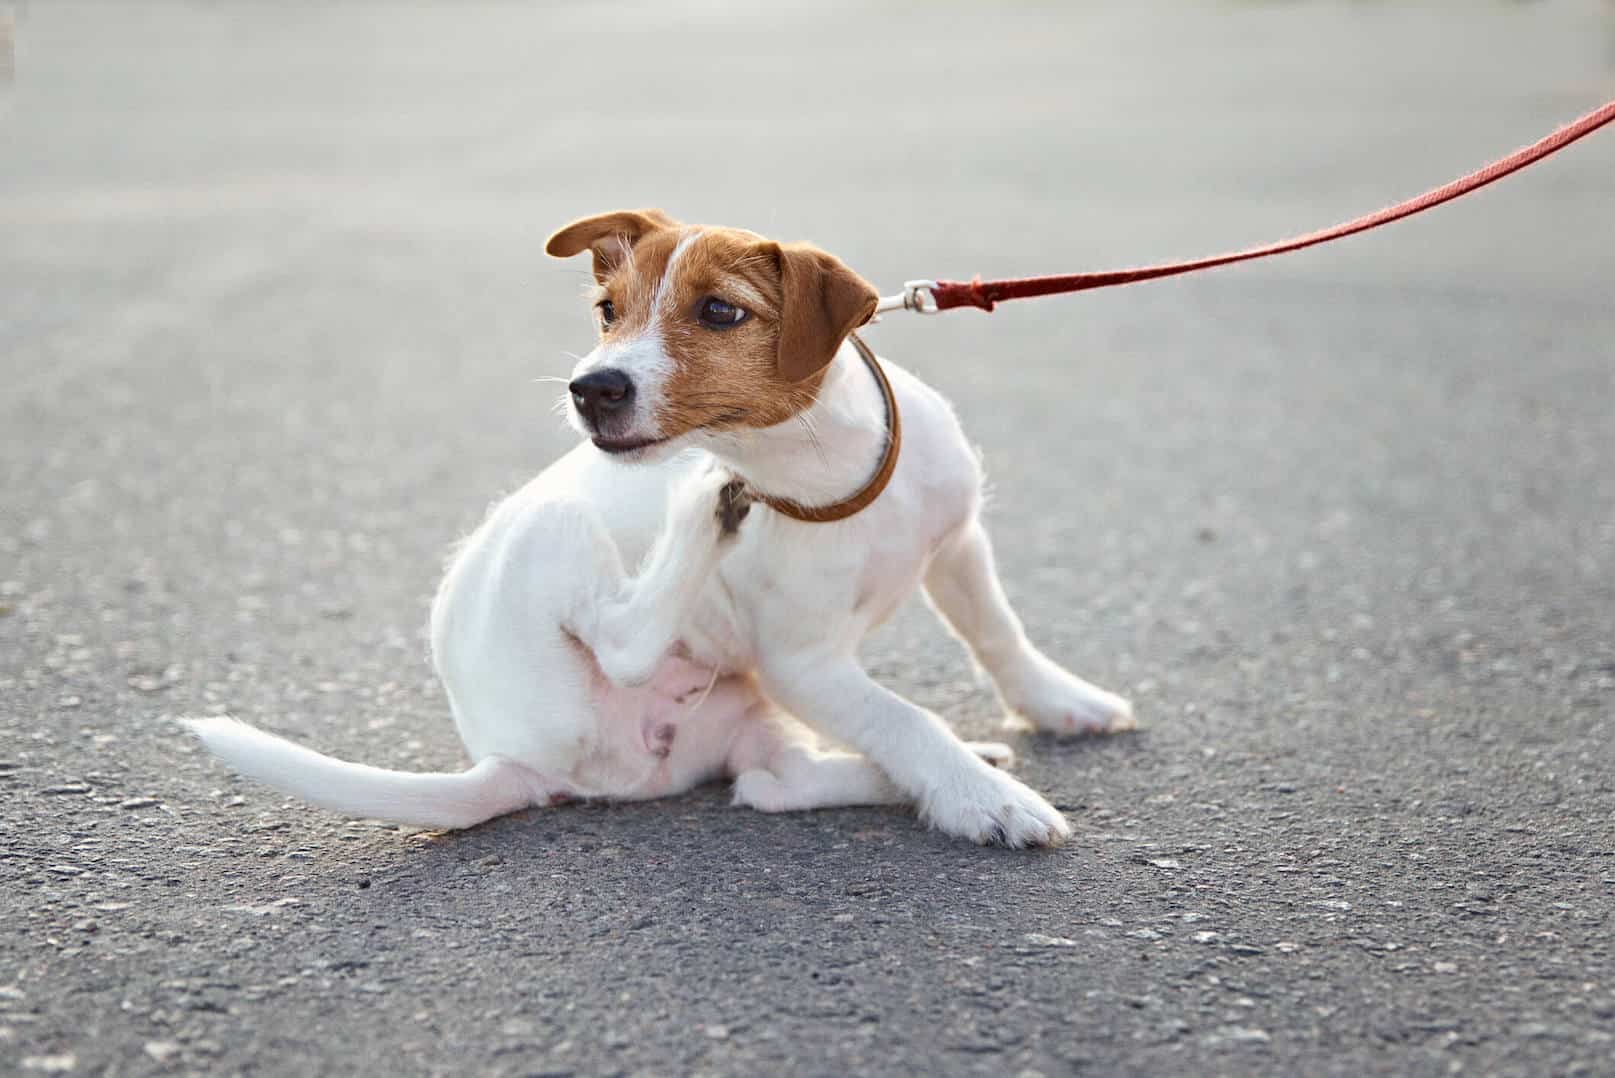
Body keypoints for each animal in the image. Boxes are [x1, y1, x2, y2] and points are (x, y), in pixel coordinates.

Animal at [183, 208, 1130, 853]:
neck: (823, 479)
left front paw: (1058, 706)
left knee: (769, 785)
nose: (590, 388)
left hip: (747, 715)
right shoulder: (804, 663)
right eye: (607, 309)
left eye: (719, 312)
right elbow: (906, 719)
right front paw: (980, 800)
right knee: (627, 639)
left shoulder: (958, 544)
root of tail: (507, 756)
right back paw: (701, 509)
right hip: (554, 530)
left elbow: (998, 636)